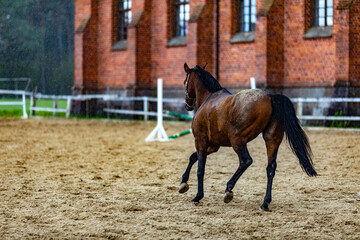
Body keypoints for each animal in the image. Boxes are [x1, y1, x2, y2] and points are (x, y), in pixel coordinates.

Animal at [179, 62, 316, 211]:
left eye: (185, 81)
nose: (187, 104)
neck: (209, 98)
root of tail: (270, 96)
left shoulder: (201, 140)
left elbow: (200, 168)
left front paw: (197, 196)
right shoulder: (213, 145)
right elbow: (193, 157)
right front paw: (183, 183)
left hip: (237, 140)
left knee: (246, 161)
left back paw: (229, 189)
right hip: (271, 140)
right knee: (271, 167)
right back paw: (265, 202)